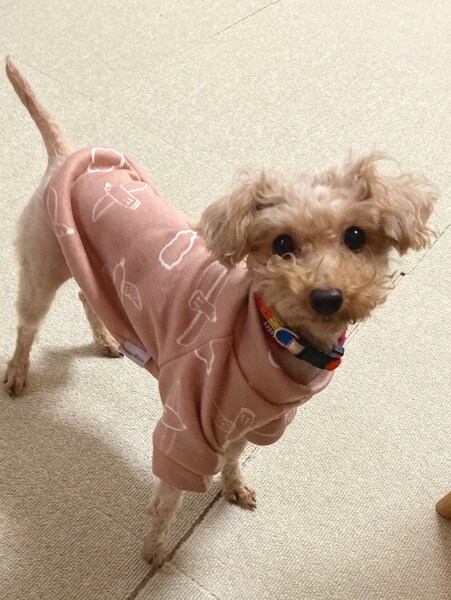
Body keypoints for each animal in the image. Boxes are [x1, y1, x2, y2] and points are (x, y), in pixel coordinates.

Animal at [3, 57, 437, 572]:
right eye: (282, 244)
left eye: (356, 236)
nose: (327, 297)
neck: (278, 338)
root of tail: (63, 157)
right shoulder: (185, 429)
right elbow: (167, 500)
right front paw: (156, 553)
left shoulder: (256, 420)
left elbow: (233, 457)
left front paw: (234, 487)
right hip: (42, 266)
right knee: (27, 325)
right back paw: (17, 373)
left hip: (92, 269)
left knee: (87, 298)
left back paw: (106, 339)